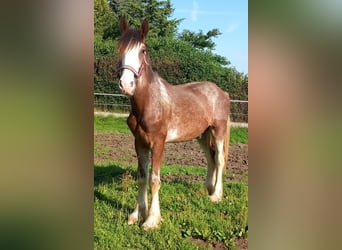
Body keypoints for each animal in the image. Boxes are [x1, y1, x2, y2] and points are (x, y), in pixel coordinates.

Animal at [117, 16, 230, 230]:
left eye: (143, 50)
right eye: (119, 48)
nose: (126, 85)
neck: (149, 102)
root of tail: (221, 92)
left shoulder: (158, 143)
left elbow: (154, 179)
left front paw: (151, 220)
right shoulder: (139, 143)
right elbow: (142, 177)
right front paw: (137, 214)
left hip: (218, 130)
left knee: (219, 159)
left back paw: (216, 196)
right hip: (202, 135)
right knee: (211, 158)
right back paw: (207, 189)